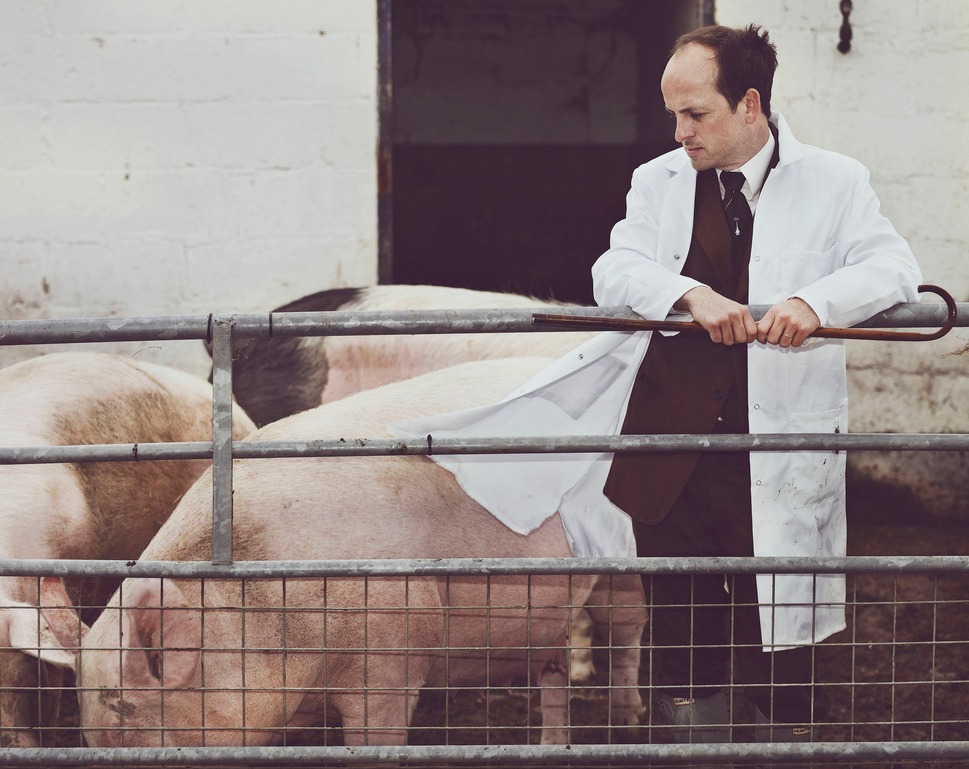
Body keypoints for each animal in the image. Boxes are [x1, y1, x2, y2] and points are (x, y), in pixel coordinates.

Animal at [42, 357, 646, 747]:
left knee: (626, 622)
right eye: (89, 739)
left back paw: (630, 721)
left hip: (622, 546)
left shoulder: (395, 650)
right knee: (554, 667)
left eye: (136, 724)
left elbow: (375, 734)